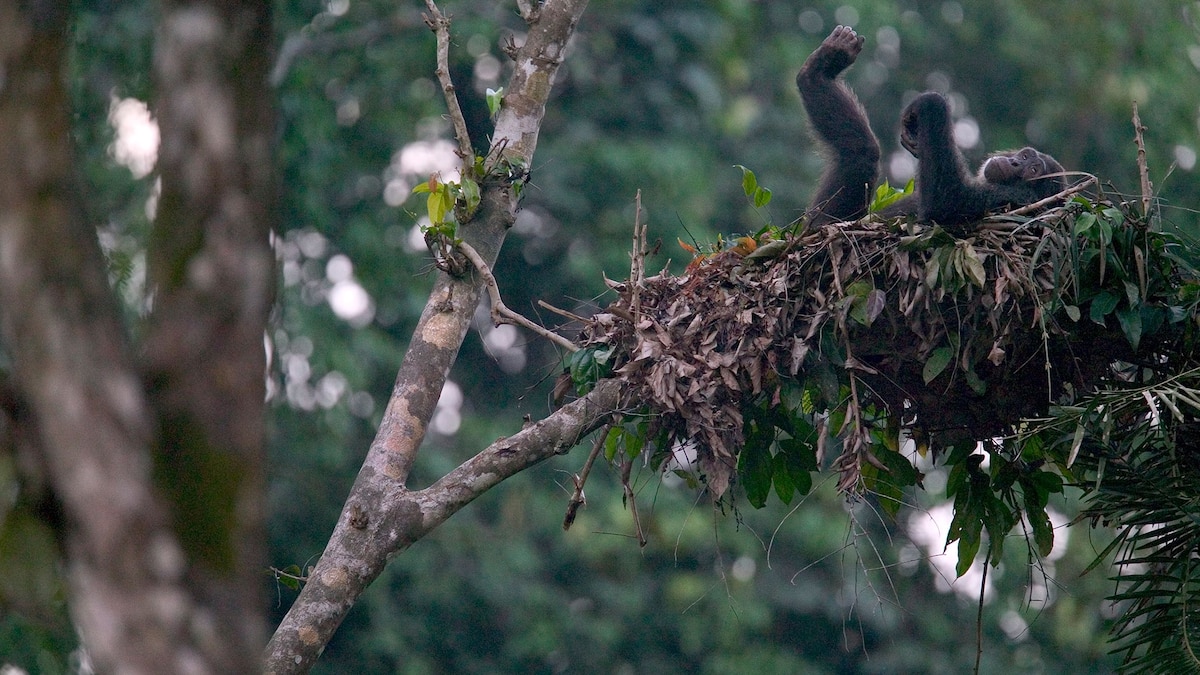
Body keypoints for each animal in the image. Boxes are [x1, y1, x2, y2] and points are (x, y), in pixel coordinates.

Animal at [796, 26, 1065, 229]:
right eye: (1026, 156)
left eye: (1033, 171)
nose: (1016, 162)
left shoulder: (1012, 201)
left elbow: (947, 202)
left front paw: (930, 103)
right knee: (862, 153)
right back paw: (819, 70)